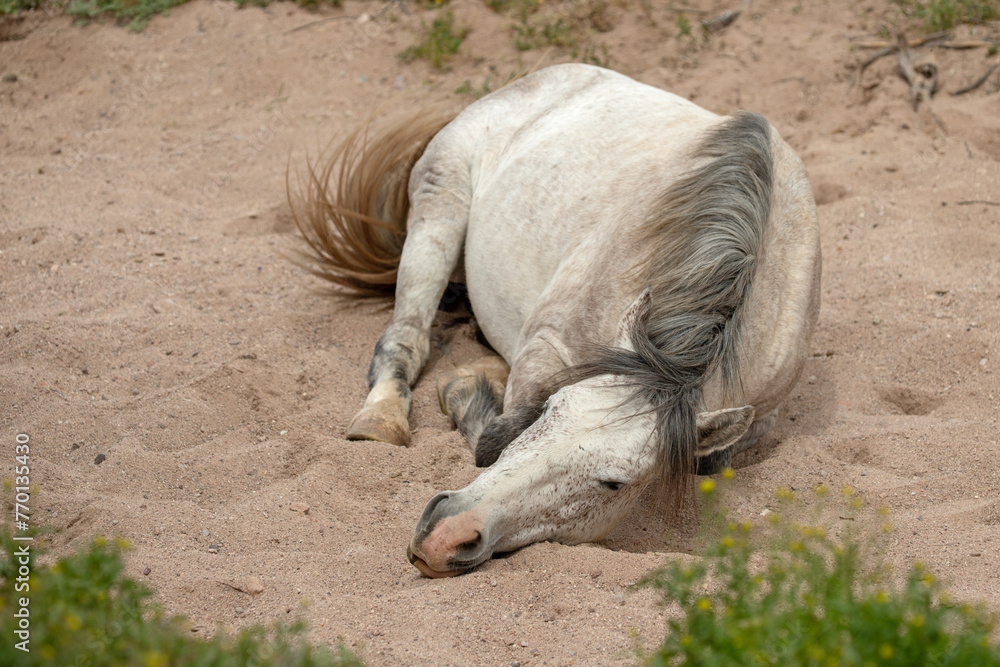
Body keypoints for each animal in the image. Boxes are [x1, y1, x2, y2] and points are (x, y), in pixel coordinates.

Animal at [290, 64, 821, 578]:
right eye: (551, 410)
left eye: (613, 483)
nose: (444, 534)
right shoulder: (545, 351)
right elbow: (493, 441)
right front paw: (464, 391)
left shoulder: (754, 422)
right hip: (439, 207)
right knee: (405, 337)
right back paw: (379, 419)